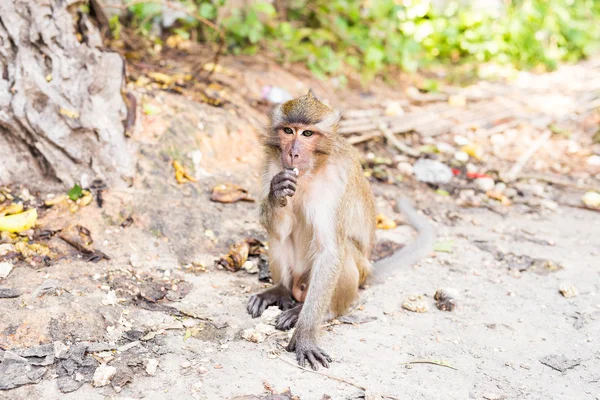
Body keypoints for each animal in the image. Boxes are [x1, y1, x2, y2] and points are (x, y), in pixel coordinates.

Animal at [246, 90, 434, 368]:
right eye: (289, 130)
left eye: (307, 134)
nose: (292, 153)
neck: (311, 170)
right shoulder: (272, 164)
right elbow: (280, 230)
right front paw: (277, 191)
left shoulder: (336, 180)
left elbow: (331, 251)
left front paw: (304, 337)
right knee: (278, 238)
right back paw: (280, 290)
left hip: (350, 275)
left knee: (342, 254)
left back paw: (316, 312)